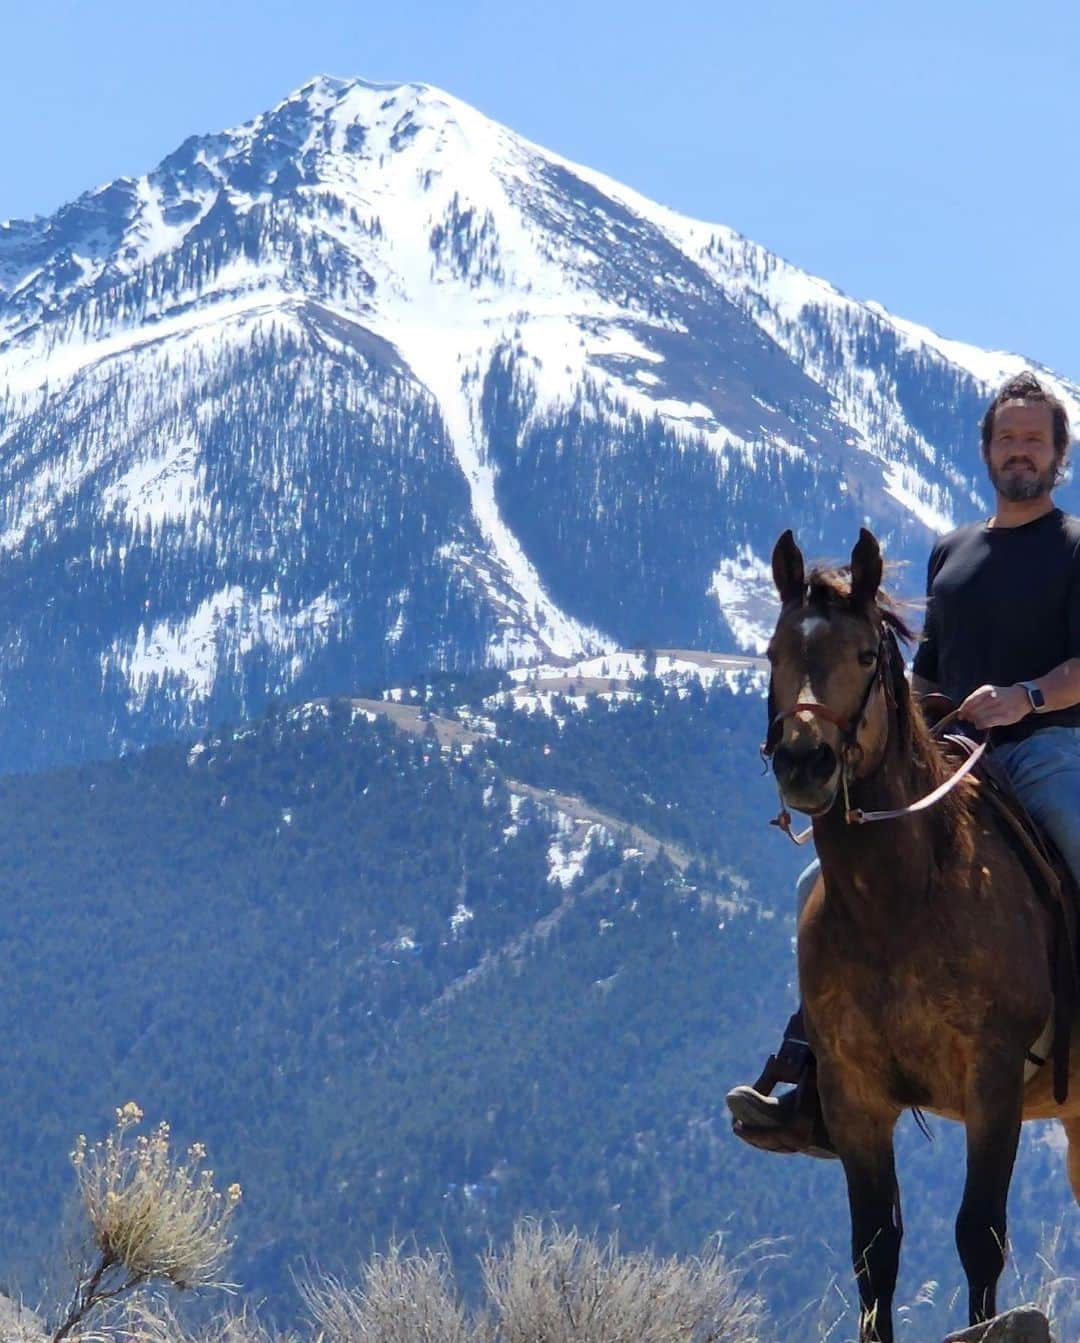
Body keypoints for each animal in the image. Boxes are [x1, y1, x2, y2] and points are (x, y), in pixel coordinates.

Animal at [768, 526, 1080, 1343]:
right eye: (773, 652)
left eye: (863, 655)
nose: (804, 760)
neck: (900, 902)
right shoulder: (853, 1094)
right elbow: (875, 1248)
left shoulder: (992, 1080)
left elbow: (980, 1235)